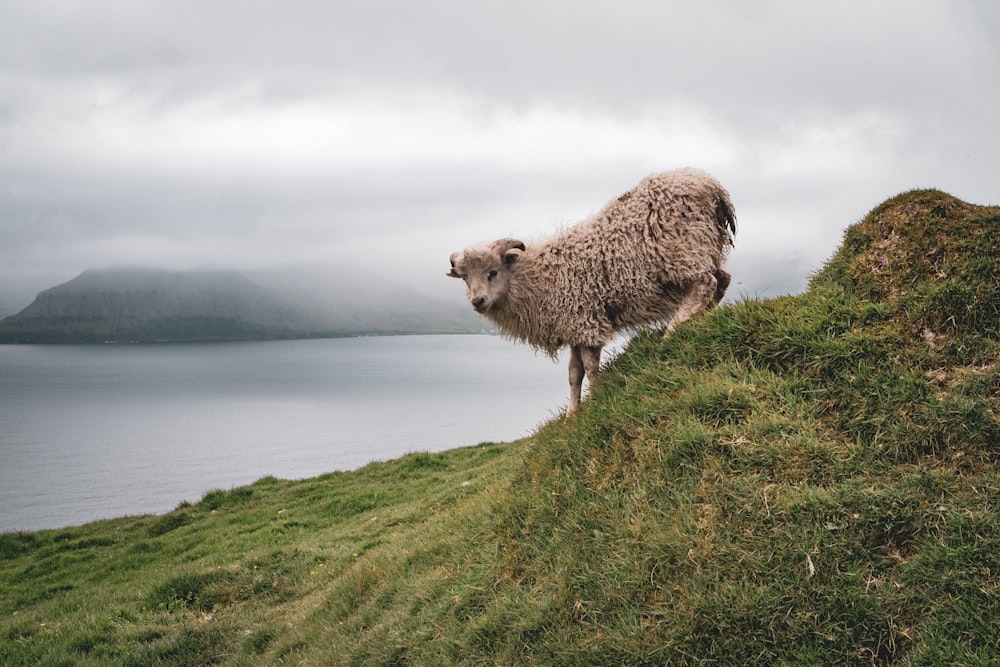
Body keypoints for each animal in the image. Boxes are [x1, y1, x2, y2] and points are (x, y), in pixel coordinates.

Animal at [448, 168, 736, 412]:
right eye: (465, 279)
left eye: (493, 272)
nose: (478, 301)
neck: (539, 278)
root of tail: (710, 185)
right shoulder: (574, 327)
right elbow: (574, 374)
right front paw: (572, 415)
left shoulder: (586, 321)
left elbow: (590, 368)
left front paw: (596, 399)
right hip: (703, 246)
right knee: (721, 281)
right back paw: (698, 322)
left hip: (682, 249)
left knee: (706, 284)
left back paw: (671, 333)